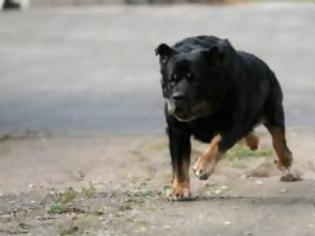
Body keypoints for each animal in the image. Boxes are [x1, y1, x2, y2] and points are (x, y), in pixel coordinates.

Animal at [157, 35, 300, 201]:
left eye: (194, 80)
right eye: (172, 80)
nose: (177, 97)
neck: (203, 112)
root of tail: (266, 67)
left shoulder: (232, 125)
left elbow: (217, 143)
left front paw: (203, 165)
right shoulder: (177, 131)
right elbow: (179, 163)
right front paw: (179, 189)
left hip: (273, 110)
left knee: (278, 139)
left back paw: (285, 159)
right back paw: (253, 141)